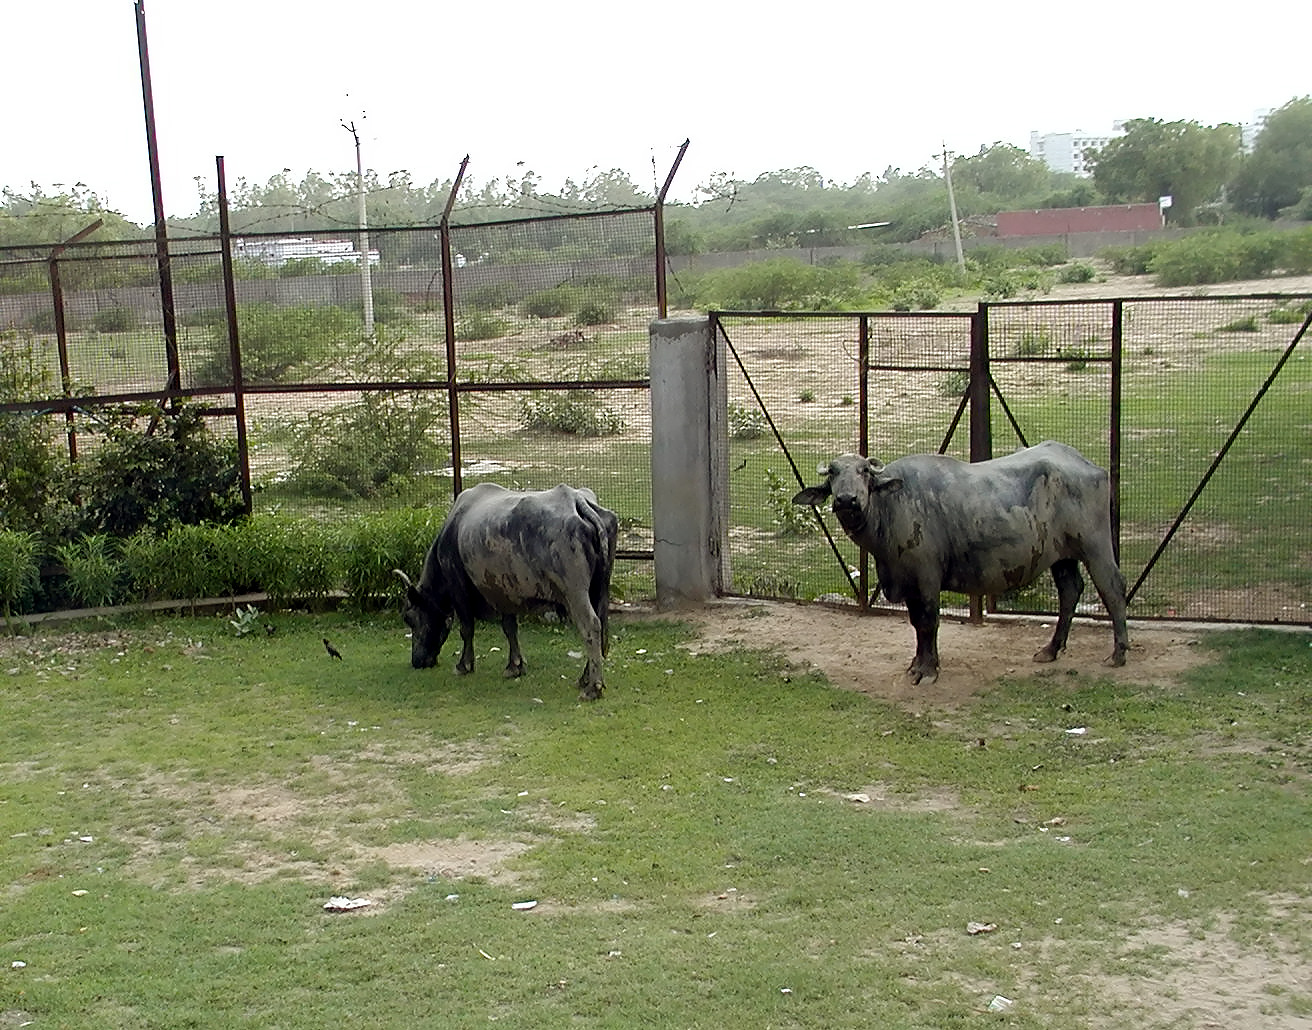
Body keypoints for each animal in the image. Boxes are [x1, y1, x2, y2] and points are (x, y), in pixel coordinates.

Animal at [395, 483, 618, 699]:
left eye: (410, 618)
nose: (417, 661)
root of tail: (576, 499)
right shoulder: (503, 589)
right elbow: (510, 627)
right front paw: (514, 666)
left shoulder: (458, 587)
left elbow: (466, 629)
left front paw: (463, 665)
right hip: (599, 589)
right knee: (600, 623)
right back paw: (585, 678)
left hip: (575, 593)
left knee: (591, 625)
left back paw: (593, 688)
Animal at [793, 441, 1129, 683]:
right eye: (834, 473)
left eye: (864, 472)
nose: (846, 500)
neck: (892, 508)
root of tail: (1090, 467)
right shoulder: (908, 581)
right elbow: (916, 623)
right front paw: (917, 664)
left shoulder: (926, 578)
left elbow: (928, 621)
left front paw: (928, 670)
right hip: (1062, 556)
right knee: (1070, 591)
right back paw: (1051, 649)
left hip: (1095, 546)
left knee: (1112, 589)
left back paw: (1118, 654)